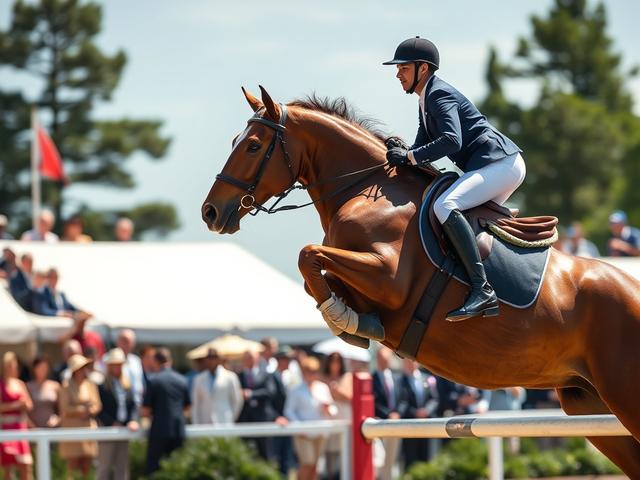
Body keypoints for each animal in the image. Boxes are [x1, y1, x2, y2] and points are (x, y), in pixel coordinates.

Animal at [202, 86, 640, 475]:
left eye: (252, 146)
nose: (211, 212)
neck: (364, 188)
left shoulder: (388, 278)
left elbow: (308, 255)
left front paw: (347, 319)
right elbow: (317, 275)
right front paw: (352, 323)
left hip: (623, 395)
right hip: (588, 402)